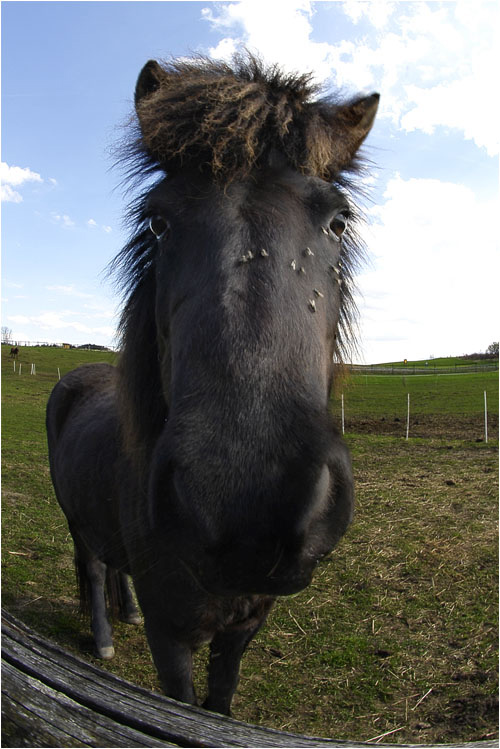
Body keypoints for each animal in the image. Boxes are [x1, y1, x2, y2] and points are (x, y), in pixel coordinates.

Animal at [47, 54, 376, 712]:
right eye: (158, 221)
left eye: (338, 221)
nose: (245, 503)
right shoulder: (170, 636)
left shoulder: (246, 625)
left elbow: (220, 704)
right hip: (74, 519)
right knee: (91, 567)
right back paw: (104, 636)